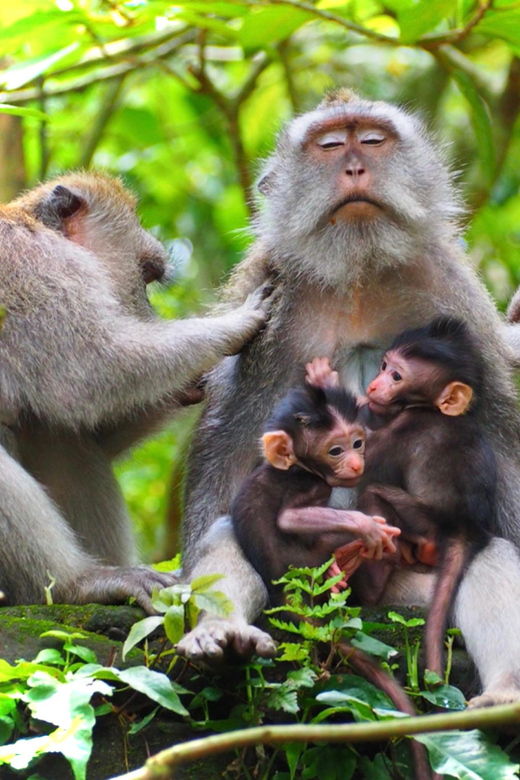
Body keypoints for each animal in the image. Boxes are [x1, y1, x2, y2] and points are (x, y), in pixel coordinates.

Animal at [0, 172, 271, 612]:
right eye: (145, 275)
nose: (150, 314)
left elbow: (88, 426)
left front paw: (190, 384)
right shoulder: (33, 268)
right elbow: (92, 369)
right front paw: (233, 324)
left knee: (58, 436)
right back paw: (77, 584)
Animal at [231, 382, 400, 603]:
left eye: (357, 443)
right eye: (335, 451)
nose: (356, 464)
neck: (300, 468)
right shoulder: (311, 485)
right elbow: (289, 518)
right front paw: (368, 525)